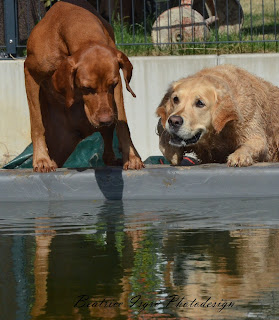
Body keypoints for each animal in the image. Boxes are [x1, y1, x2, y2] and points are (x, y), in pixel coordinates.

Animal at [24, 0, 144, 172]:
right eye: (87, 88)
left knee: (106, 152)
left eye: (112, 84)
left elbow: (123, 123)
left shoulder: (118, 86)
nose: (106, 120)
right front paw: (41, 159)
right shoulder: (30, 73)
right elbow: (36, 124)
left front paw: (132, 157)